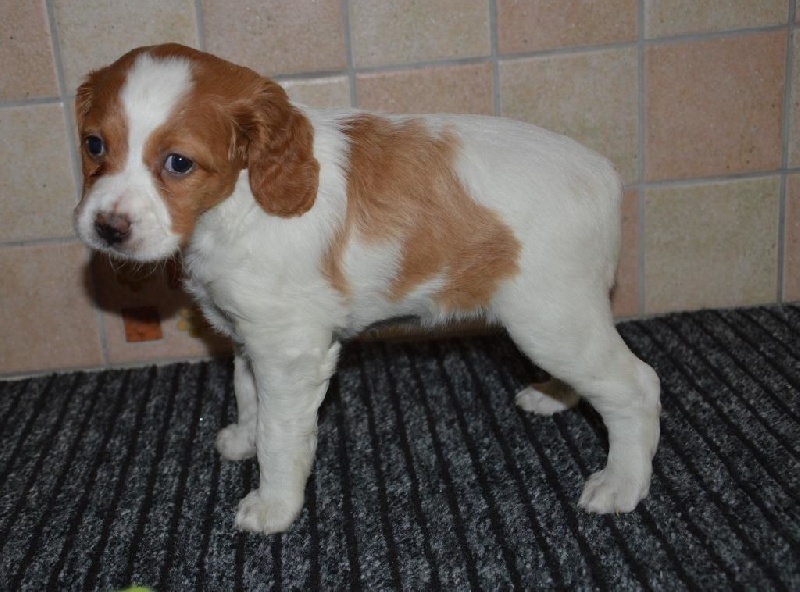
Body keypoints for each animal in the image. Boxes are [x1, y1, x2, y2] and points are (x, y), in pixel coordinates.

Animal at [73, 43, 660, 534]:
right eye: (94, 145)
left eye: (178, 163)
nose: (107, 228)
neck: (237, 203)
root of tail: (603, 174)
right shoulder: (250, 337)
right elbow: (248, 395)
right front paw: (243, 439)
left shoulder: (291, 350)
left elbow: (281, 435)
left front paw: (273, 506)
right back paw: (552, 396)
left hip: (552, 321)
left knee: (636, 385)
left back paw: (621, 484)